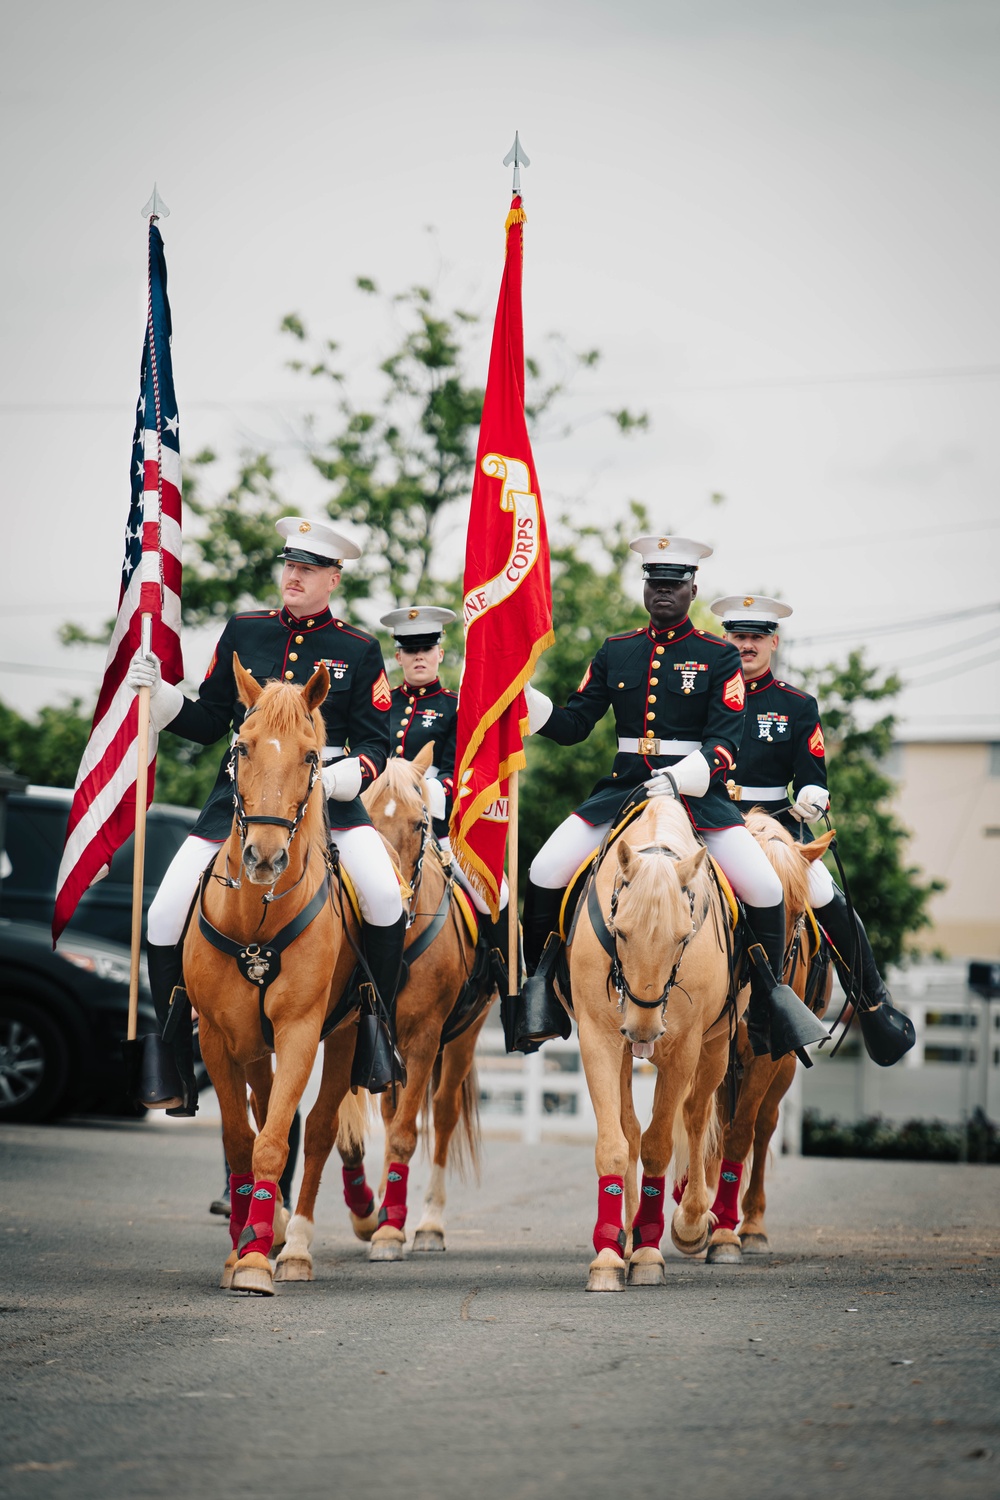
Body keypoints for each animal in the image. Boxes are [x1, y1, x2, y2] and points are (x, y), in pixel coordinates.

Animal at [183, 663, 364, 1296]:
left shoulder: (300, 1030)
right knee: (264, 1110)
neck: (256, 920)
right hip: (250, 1043)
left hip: (344, 1034)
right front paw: (240, 1248)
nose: (263, 857)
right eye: (242, 746)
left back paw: (296, 1245)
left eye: (312, 756)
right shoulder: (217, 1036)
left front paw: (258, 1262)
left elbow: (275, 1141)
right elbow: (241, 1139)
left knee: (318, 1128)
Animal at [274, 741, 491, 1278]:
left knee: (443, 1114)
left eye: (419, 824)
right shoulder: (354, 1031)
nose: (395, 895)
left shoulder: (425, 1037)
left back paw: (428, 1222)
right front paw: (370, 1216)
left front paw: (391, 1231)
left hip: (465, 1036)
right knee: (396, 1112)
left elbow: (405, 1136)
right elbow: (352, 1132)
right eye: (364, 819)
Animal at [563, 792, 743, 1296]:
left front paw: (647, 1251)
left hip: (716, 1047)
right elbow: (616, 1143)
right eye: (620, 931)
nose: (643, 1030)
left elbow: (660, 1145)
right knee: (630, 1127)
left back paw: (692, 1221)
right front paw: (609, 1254)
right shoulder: (600, 1038)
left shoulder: (683, 1049)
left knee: (696, 1118)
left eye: (683, 938)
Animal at [704, 810, 839, 1266]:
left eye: (798, 915)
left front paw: (724, 1233)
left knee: (763, 1126)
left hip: (784, 1067)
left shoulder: (768, 1058)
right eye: (749, 907)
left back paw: (750, 1225)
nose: (771, 988)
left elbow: (741, 1131)